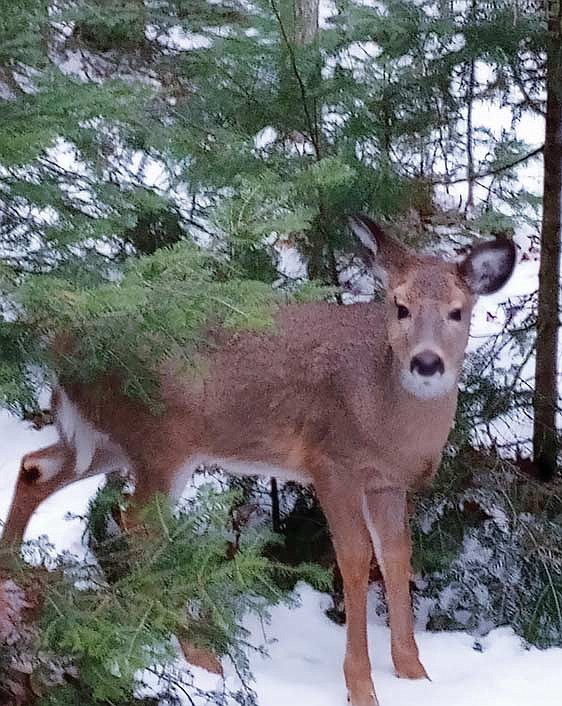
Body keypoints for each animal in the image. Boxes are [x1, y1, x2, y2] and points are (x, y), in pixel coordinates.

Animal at [1, 216, 516, 704]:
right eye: (400, 305)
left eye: (458, 311)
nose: (426, 363)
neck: (382, 408)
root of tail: (61, 345)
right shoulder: (332, 463)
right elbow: (354, 559)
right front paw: (361, 687)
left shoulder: (388, 482)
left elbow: (396, 555)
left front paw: (415, 673)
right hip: (162, 438)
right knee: (139, 524)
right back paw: (197, 652)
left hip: (108, 437)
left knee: (36, 467)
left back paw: (12, 574)